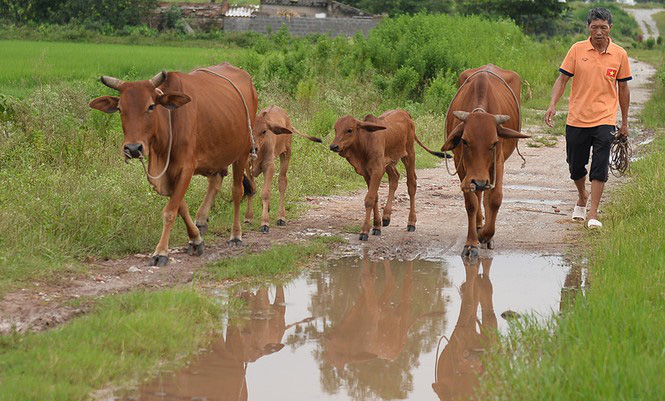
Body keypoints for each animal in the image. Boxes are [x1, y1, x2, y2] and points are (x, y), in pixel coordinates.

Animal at [244, 104, 322, 233]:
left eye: (264, 131)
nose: (253, 149)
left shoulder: (269, 166)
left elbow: (265, 193)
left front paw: (264, 223)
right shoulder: (246, 166)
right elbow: (251, 189)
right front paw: (248, 218)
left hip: (286, 153)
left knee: (282, 182)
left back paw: (281, 217)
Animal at [328, 109, 444, 239]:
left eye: (349, 130)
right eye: (335, 129)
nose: (334, 146)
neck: (366, 141)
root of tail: (405, 112)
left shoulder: (377, 170)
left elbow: (369, 199)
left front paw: (364, 231)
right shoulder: (367, 173)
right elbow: (375, 197)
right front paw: (376, 226)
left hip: (409, 154)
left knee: (411, 185)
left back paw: (411, 222)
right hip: (389, 162)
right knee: (395, 178)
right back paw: (386, 217)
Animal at [440, 63, 528, 256]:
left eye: (494, 143)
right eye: (465, 141)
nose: (479, 181)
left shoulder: (497, 163)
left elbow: (495, 199)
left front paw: (487, 235)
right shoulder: (462, 166)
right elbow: (471, 203)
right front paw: (471, 242)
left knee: (486, 194)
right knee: (478, 195)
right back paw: (479, 224)